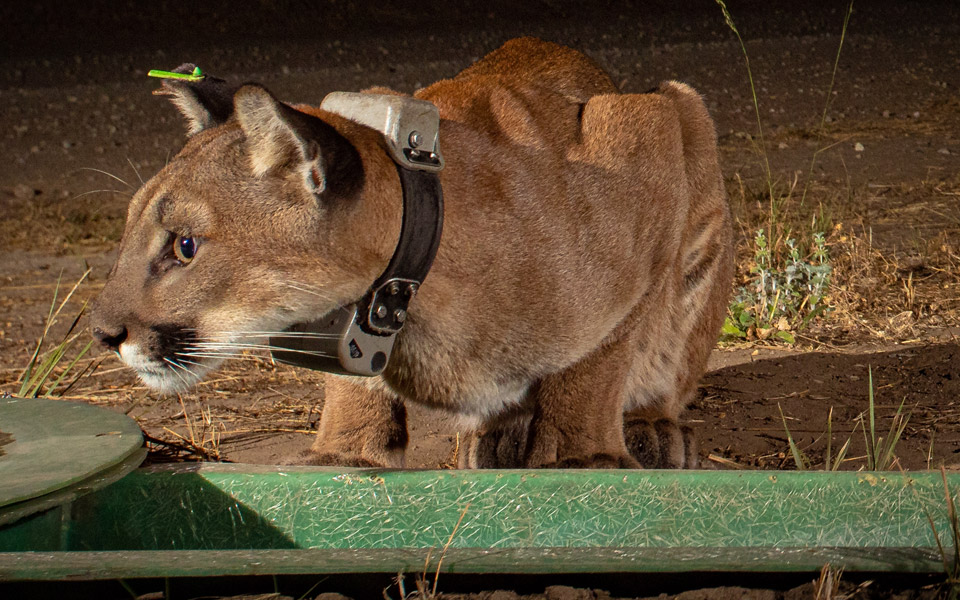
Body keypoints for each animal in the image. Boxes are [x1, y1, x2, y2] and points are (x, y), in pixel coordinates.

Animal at [92, 36, 736, 468]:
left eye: (185, 246)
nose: (102, 333)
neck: (419, 298)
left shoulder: (644, 127)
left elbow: (606, 348)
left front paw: (583, 453)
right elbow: (349, 371)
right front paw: (348, 452)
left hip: (692, 120)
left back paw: (647, 425)